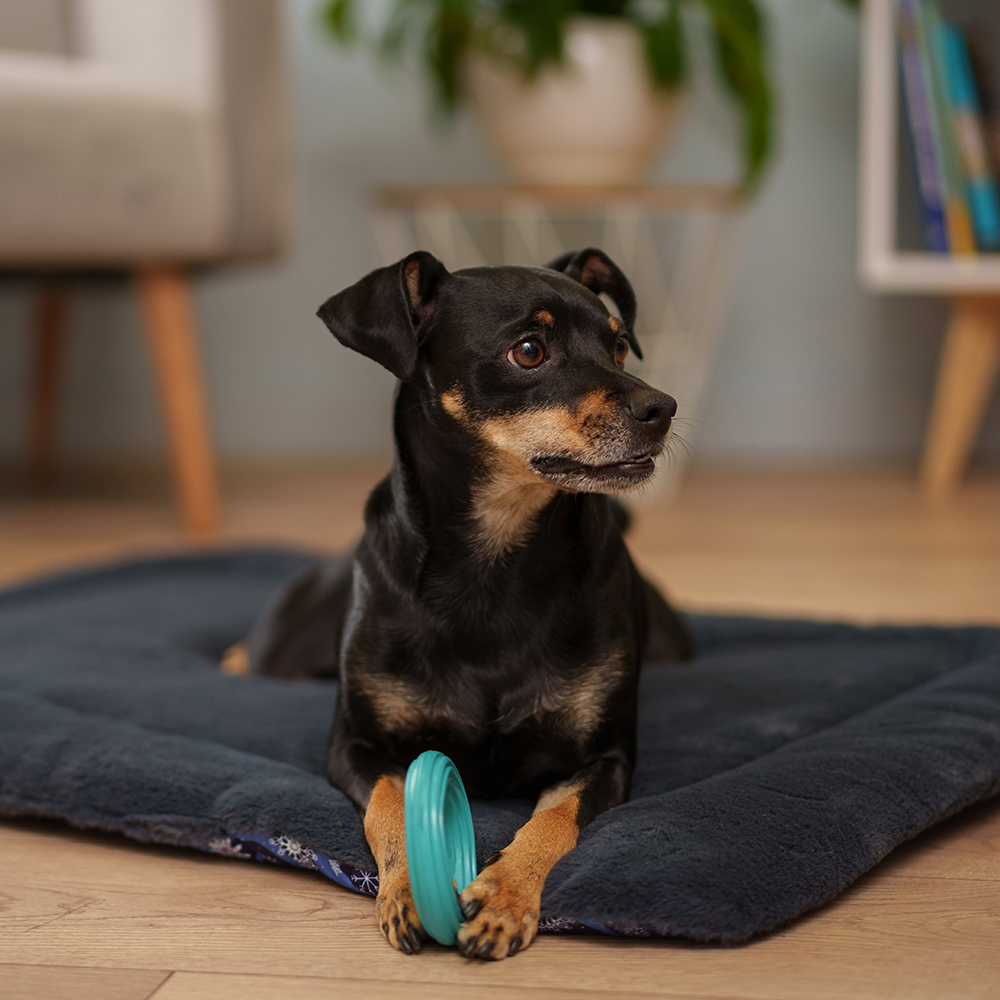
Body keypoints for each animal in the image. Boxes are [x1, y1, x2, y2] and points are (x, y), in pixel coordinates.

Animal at [237, 248, 692, 959]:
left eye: (620, 344)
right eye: (529, 351)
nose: (662, 407)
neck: (492, 562)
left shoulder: (606, 757)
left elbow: (553, 820)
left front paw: (503, 897)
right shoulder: (354, 745)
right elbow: (391, 803)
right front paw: (404, 892)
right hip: (285, 644)